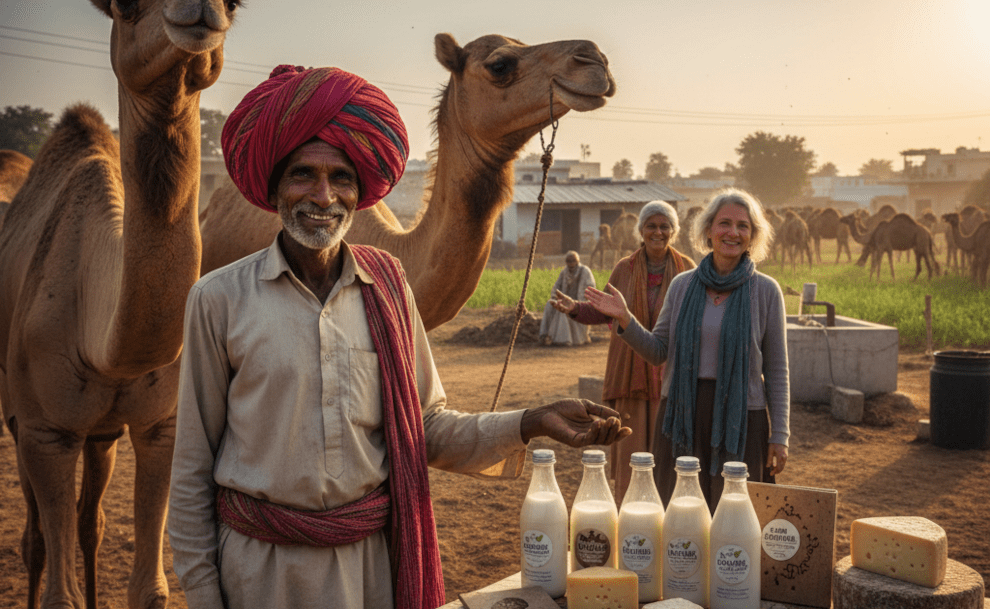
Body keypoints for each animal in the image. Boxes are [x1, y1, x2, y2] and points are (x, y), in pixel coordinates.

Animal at [0, 1, 235, 607]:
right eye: (126, 7)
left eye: (236, 6)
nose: (202, 11)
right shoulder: (45, 432)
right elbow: (58, 590)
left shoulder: (162, 427)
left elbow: (150, 587)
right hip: (18, 410)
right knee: (36, 537)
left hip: (101, 432)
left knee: (91, 520)